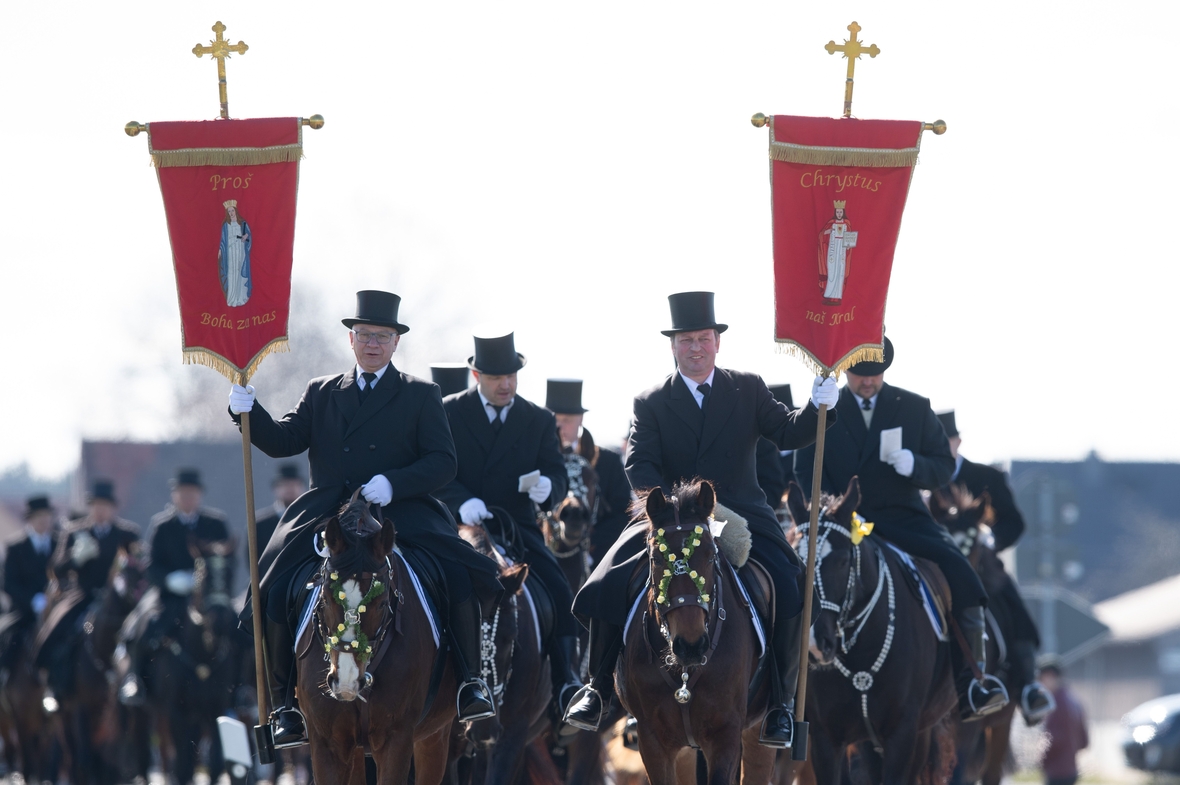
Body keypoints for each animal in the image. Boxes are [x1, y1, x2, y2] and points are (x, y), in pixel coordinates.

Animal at [299, 493, 455, 779]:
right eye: (325, 600)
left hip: (434, 736)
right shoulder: (327, 743)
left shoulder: (397, 738)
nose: (346, 681)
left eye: (382, 604)